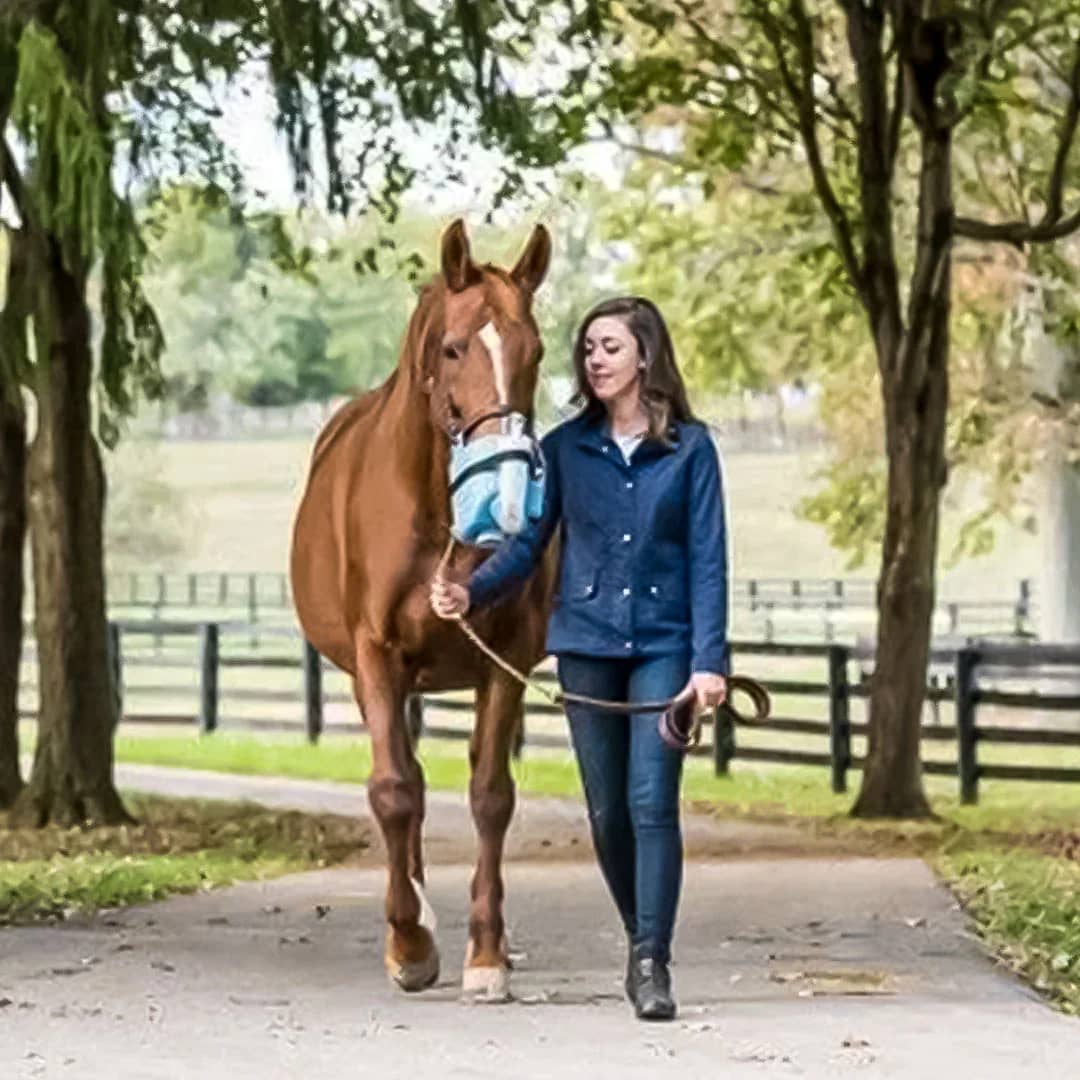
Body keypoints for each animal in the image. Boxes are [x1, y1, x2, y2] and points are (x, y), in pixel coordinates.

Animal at [290, 219, 557, 1001]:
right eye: (453, 348)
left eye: (536, 351)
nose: (505, 489)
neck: (435, 510)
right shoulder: (378, 656)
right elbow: (393, 791)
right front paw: (409, 944)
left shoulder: (505, 661)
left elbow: (490, 796)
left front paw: (488, 954)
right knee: (402, 781)